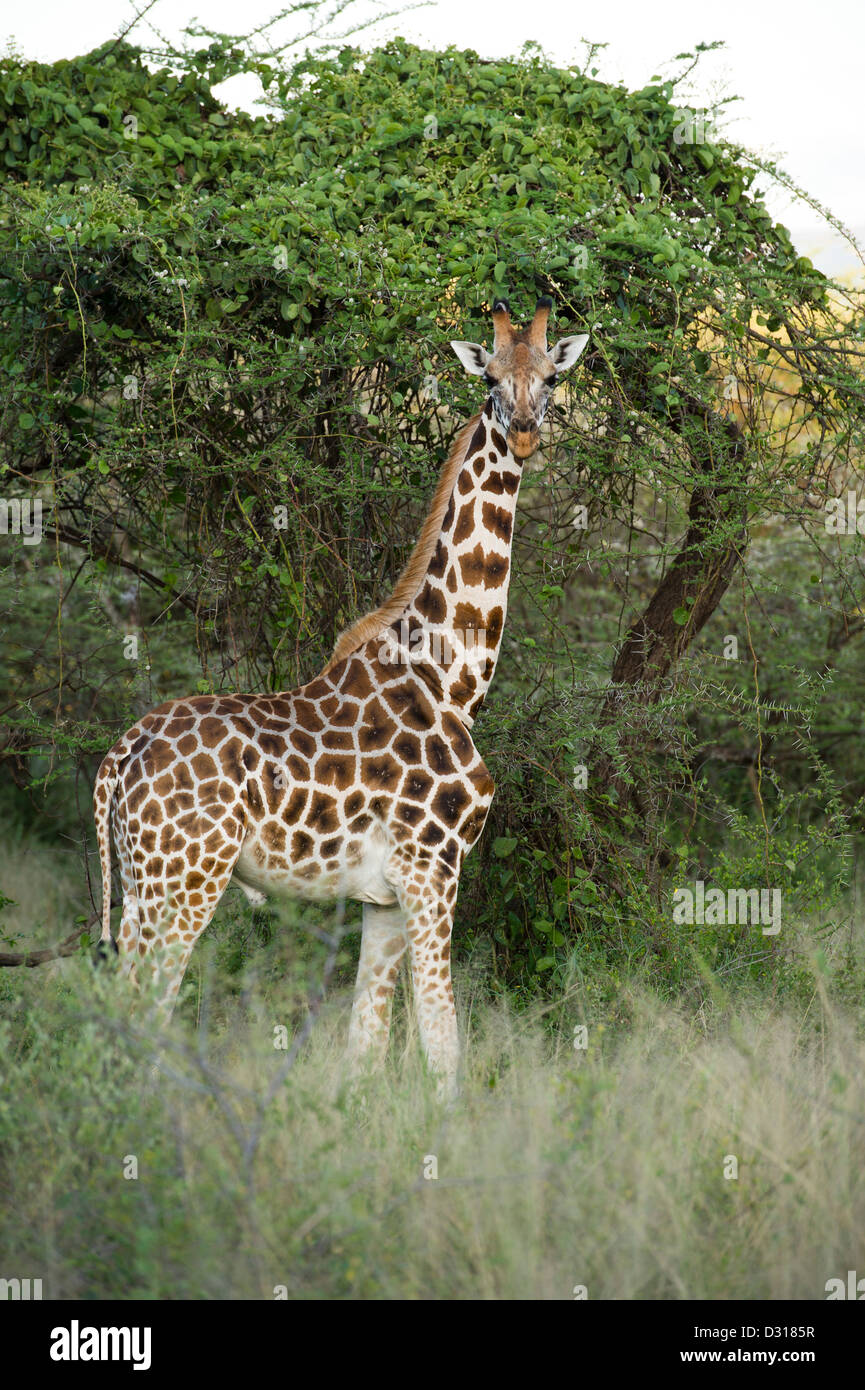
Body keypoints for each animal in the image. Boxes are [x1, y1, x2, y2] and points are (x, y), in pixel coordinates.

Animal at [94, 298, 592, 1089]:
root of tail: (118, 759)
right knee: (149, 1001)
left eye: (551, 377)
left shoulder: (382, 896)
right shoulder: (432, 867)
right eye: (488, 377)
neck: (452, 677)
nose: (523, 431)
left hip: (141, 879)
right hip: (188, 876)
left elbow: (366, 1044)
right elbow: (442, 1042)